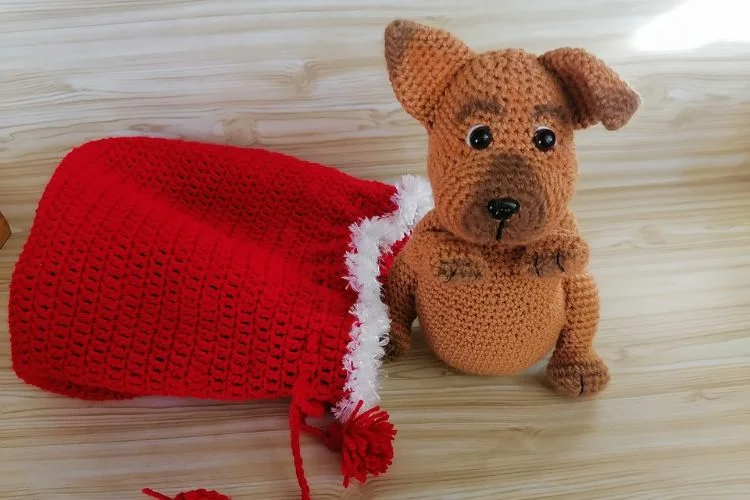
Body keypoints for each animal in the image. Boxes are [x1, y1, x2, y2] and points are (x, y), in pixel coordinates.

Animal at [388, 19, 640, 396]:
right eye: (478, 136)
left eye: (546, 139)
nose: (503, 207)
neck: (498, 248)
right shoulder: (431, 225)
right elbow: (423, 244)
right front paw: (457, 261)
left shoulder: (566, 222)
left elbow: (575, 241)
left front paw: (553, 252)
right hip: (403, 279)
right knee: (398, 290)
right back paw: (385, 339)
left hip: (580, 289)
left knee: (581, 310)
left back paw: (579, 369)